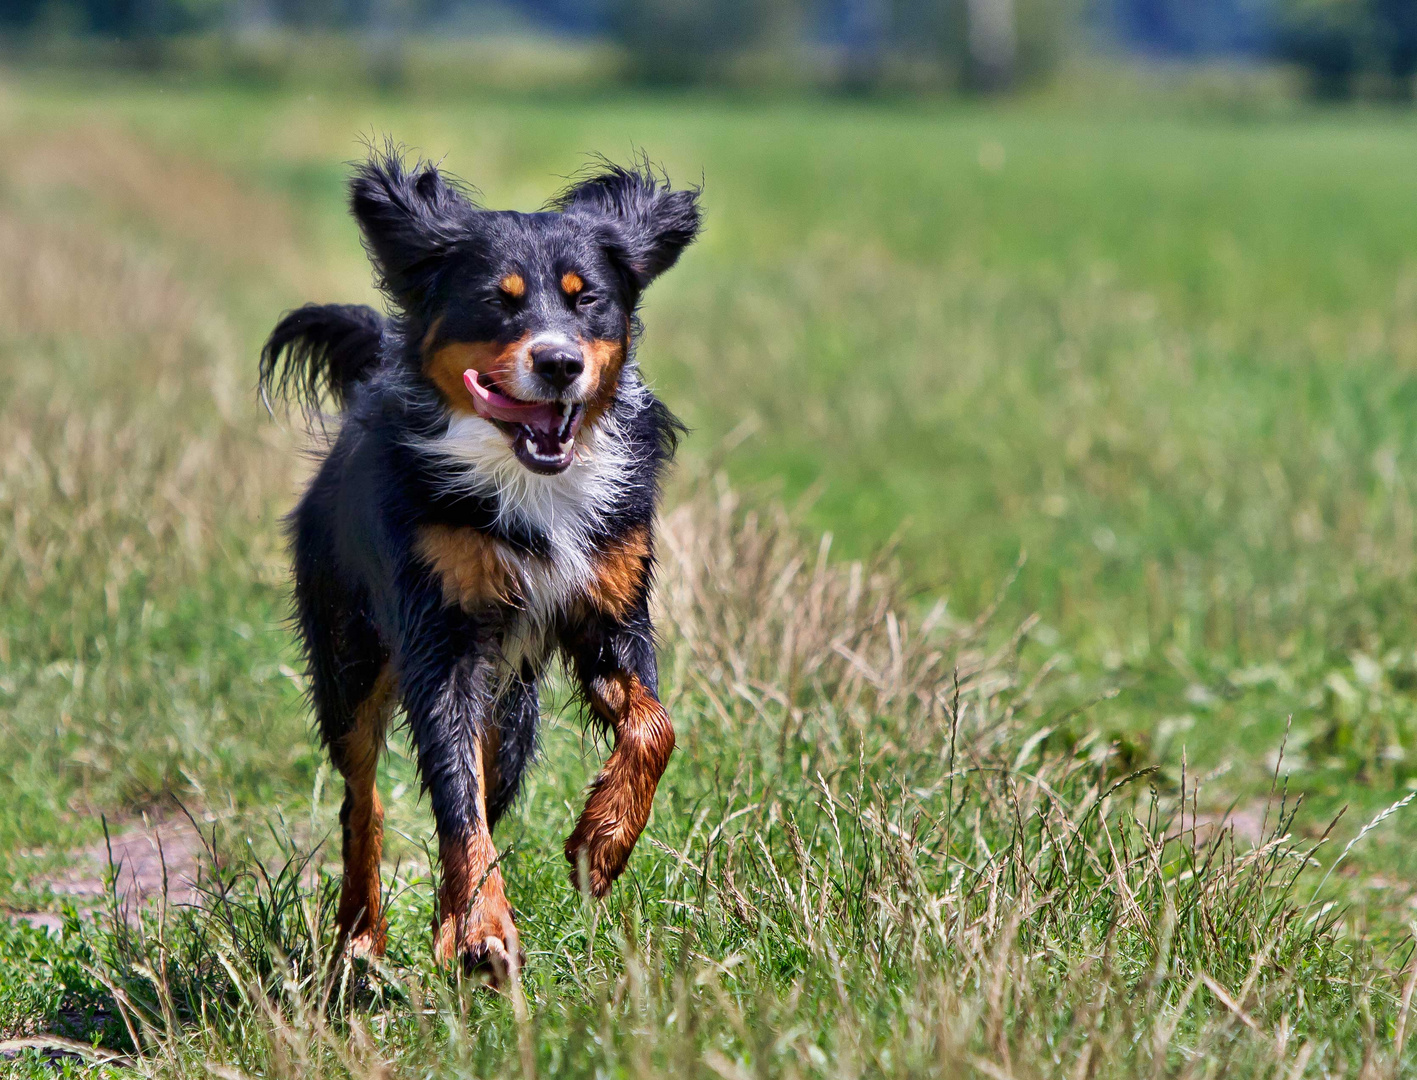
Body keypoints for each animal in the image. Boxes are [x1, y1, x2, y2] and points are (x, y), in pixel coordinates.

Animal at [257, 143, 699, 975]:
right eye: (499, 302)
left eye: (587, 299)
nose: (557, 363)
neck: (526, 476)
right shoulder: (443, 634)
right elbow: (454, 797)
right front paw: (486, 927)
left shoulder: (611, 610)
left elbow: (653, 726)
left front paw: (601, 841)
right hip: (351, 657)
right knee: (362, 794)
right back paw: (362, 932)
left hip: (515, 711)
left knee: (487, 781)